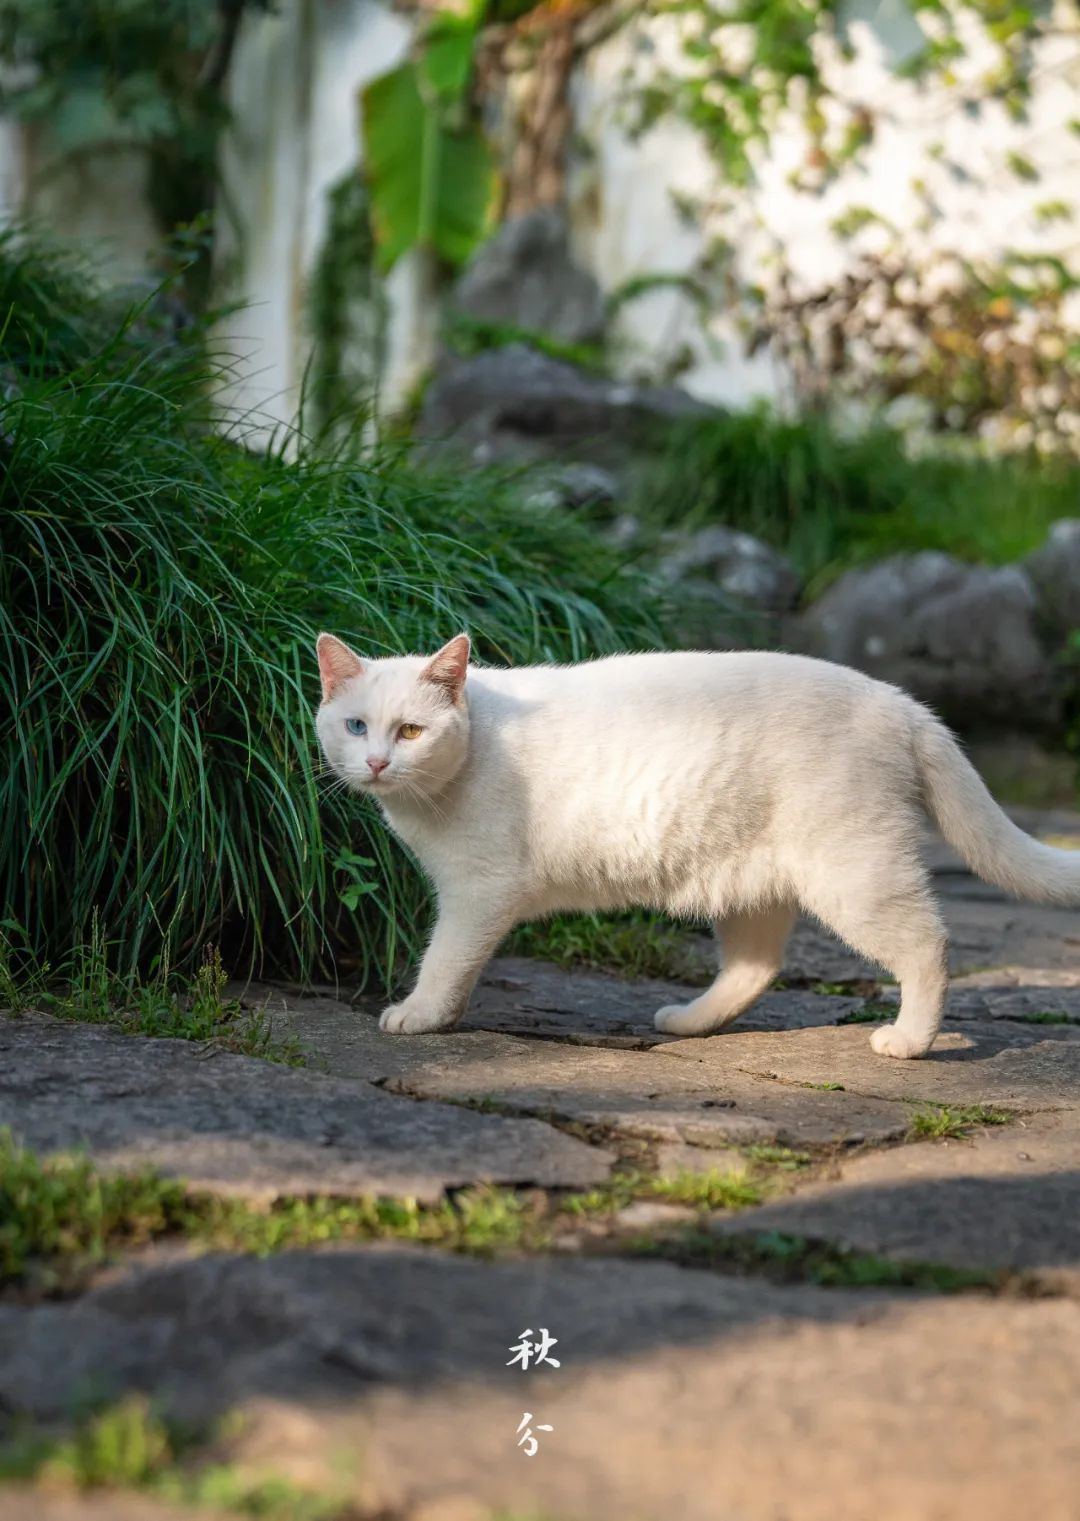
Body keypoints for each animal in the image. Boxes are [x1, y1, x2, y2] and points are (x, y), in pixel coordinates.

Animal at [314, 632, 1080, 1058]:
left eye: (411, 731)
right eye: (355, 726)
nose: (376, 762)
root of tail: (903, 701)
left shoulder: (479, 891)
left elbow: (445, 961)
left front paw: (420, 1015)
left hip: (854, 875)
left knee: (929, 945)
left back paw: (911, 1042)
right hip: (753, 882)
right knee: (757, 966)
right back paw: (687, 1022)